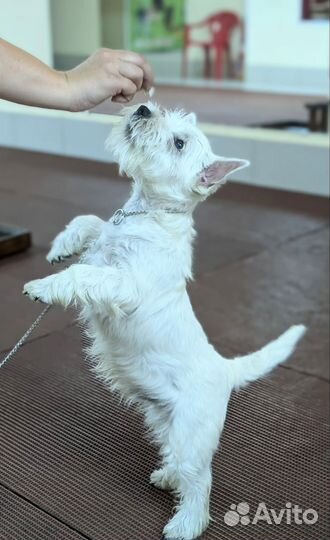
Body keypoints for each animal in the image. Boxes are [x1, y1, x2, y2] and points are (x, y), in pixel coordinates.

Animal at [23, 102, 306, 540]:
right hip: (163, 419)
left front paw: (43, 286)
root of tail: (225, 369)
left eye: (179, 142)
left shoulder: (124, 284)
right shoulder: (106, 237)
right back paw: (167, 477)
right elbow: (89, 221)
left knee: (201, 479)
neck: (148, 212)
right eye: (166, 115)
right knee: (178, 460)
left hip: (192, 434)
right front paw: (60, 247)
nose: (142, 107)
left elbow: (84, 274)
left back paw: (185, 524)